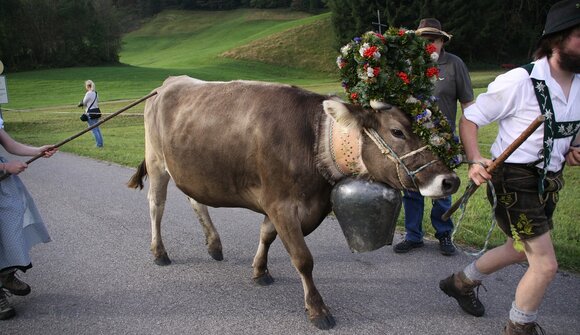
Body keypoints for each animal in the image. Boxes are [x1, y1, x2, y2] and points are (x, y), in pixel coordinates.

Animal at [129, 75, 460, 330]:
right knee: (156, 205)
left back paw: (214, 244)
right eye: (397, 131)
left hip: (190, 169)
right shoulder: (280, 203)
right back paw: (160, 252)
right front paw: (318, 309)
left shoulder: (284, 205)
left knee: (196, 201)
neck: (315, 140)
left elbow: (267, 235)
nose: (450, 181)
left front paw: (260, 271)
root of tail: (168, 83)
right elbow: (303, 258)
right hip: (156, 161)